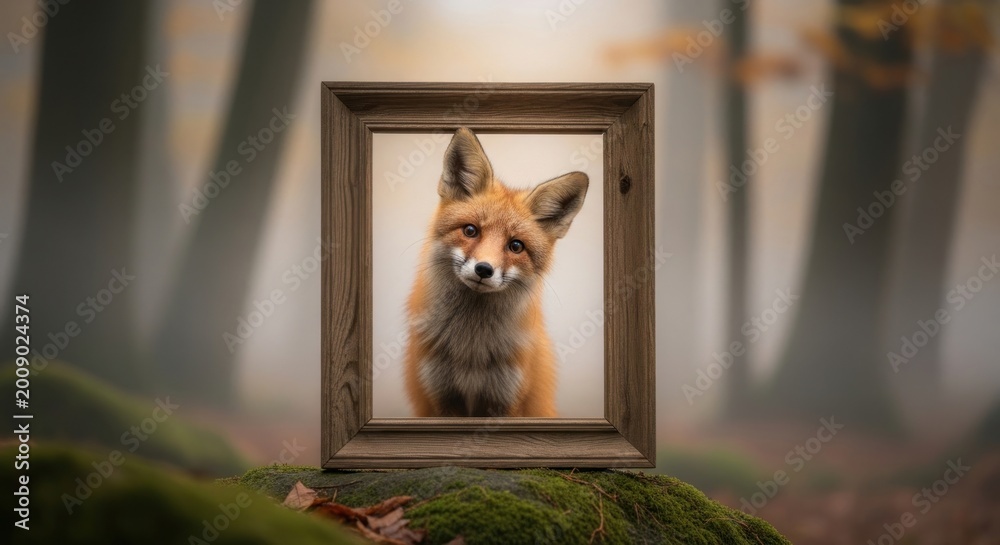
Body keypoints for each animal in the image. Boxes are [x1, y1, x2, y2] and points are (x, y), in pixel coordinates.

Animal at [403, 127, 589, 418]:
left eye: (516, 246)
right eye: (470, 230)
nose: (484, 269)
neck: (471, 349)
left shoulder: (505, 400)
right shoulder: (441, 398)